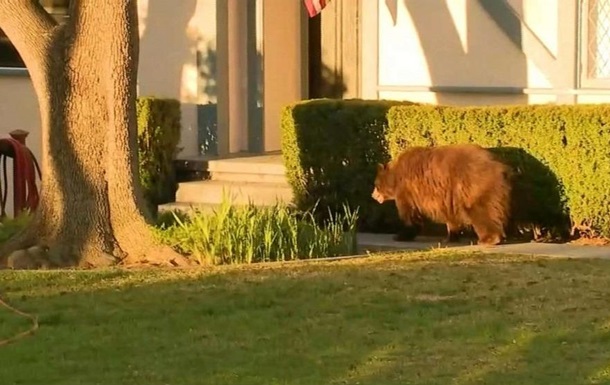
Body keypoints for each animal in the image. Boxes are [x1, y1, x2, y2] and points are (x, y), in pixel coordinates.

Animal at [370, 142, 508, 244]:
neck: (395, 178)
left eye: (375, 184)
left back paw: (488, 239)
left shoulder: (407, 190)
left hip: (474, 186)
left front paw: (400, 235)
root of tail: (500, 165)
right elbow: (451, 217)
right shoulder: (449, 197)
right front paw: (450, 237)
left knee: (481, 210)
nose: (373, 195)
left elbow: (409, 214)